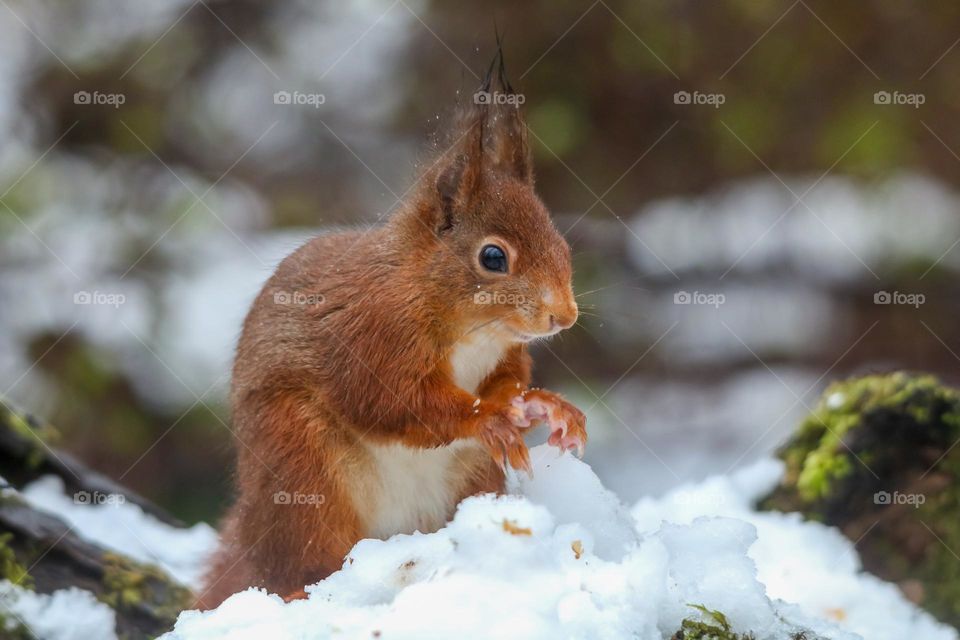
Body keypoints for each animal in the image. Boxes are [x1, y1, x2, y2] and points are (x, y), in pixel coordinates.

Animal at [197, 53, 586, 609]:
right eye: (493, 257)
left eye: (562, 243)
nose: (564, 317)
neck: (470, 328)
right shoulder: (374, 336)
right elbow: (394, 402)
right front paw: (487, 418)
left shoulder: (504, 352)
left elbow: (510, 379)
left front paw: (539, 405)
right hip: (303, 469)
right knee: (301, 560)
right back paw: (302, 591)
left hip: (470, 477)